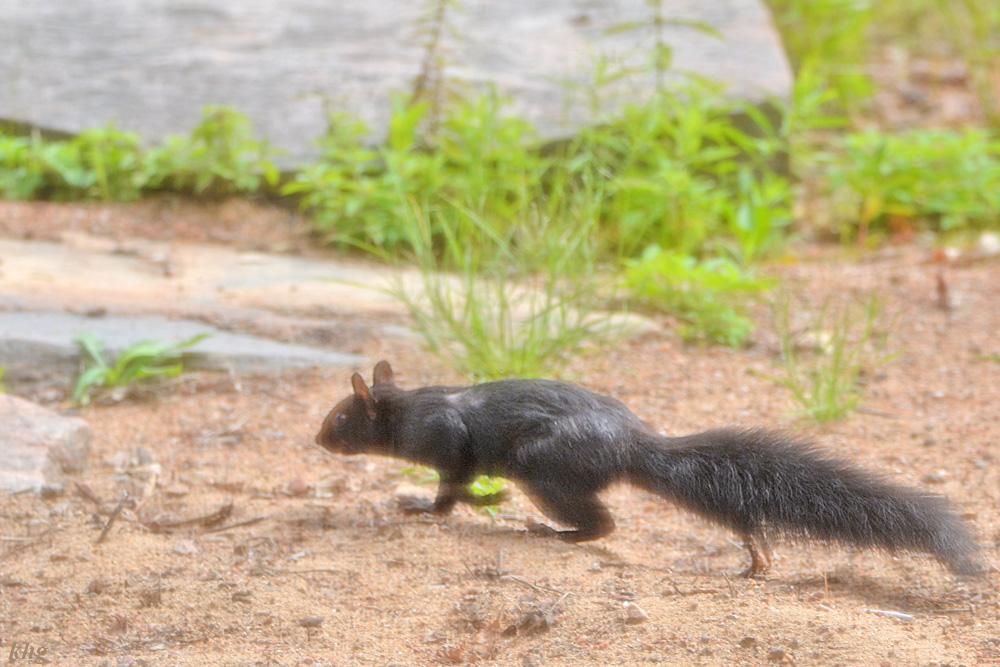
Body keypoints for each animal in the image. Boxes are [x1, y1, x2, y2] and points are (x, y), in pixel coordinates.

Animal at [314, 361, 983, 577]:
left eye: (342, 417)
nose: (317, 439)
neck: (409, 409)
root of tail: (632, 445)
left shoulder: (448, 441)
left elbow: (451, 488)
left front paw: (426, 507)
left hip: (543, 468)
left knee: (603, 524)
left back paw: (549, 531)